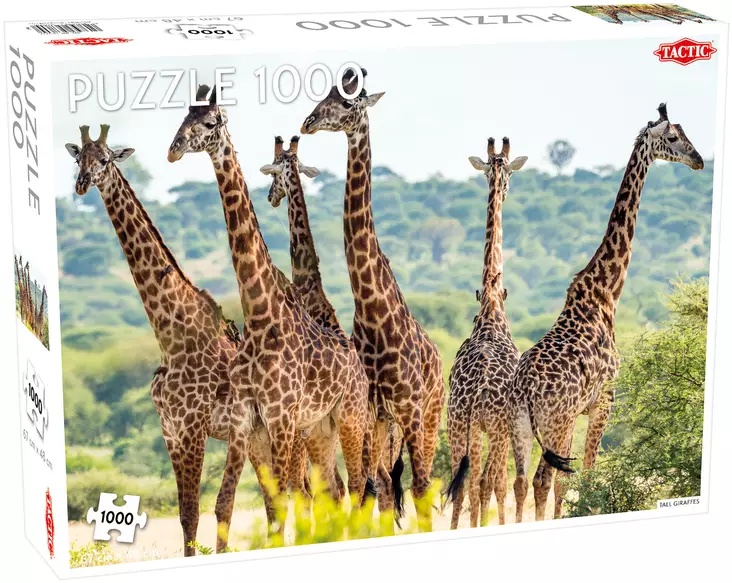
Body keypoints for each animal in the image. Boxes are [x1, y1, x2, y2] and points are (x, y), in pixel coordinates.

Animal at [64, 124, 260, 556]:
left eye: (106, 159)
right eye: (78, 158)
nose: (82, 184)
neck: (172, 338)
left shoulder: (195, 428)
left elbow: (205, 510)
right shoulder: (170, 431)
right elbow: (186, 515)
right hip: (260, 441)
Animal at [167, 87, 373, 533]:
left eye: (210, 122)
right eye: (182, 118)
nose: (173, 150)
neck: (261, 315)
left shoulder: (281, 417)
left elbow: (287, 498)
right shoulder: (251, 420)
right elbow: (269, 502)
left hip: (349, 416)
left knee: (359, 484)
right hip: (320, 428)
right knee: (335, 489)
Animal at [301, 68, 446, 529]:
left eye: (347, 103)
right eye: (322, 97)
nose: (308, 122)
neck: (371, 309)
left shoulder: (410, 408)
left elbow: (418, 489)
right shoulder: (369, 411)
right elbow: (369, 490)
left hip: (430, 416)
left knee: (422, 484)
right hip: (385, 426)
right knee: (382, 485)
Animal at [508, 104, 704, 523]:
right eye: (674, 137)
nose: (698, 160)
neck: (605, 293)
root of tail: (526, 389)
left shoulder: (584, 410)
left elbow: (570, 481)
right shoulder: (604, 401)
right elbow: (587, 474)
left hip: (520, 426)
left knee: (519, 481)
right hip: (555, 421)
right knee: (541, 480)